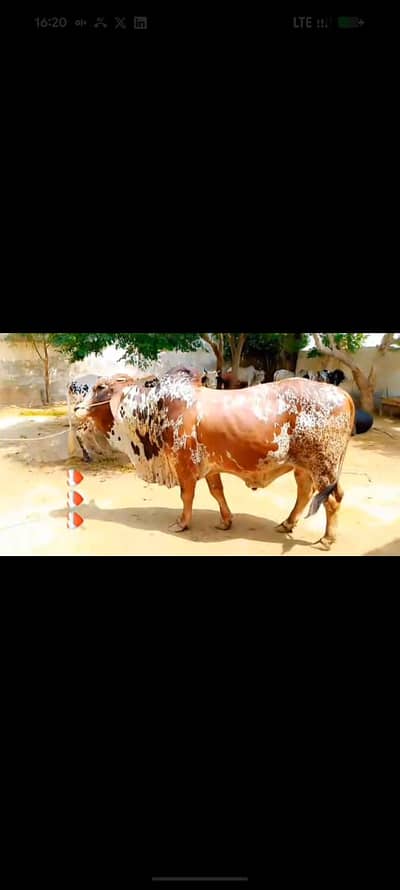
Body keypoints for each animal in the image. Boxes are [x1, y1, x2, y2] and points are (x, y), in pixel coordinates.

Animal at [78, 367, 358, 549]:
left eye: (100, 387)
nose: (78, 408)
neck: (157, 409)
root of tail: (342, 394)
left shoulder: (184, 464)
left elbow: (186, 495)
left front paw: (182, 523)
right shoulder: (211, 467)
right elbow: (217, 492)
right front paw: (226, 521)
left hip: (323, 466)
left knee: (332, 500)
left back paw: (326, 539)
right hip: (303, 466)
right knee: (304, 493)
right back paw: (287, 523)